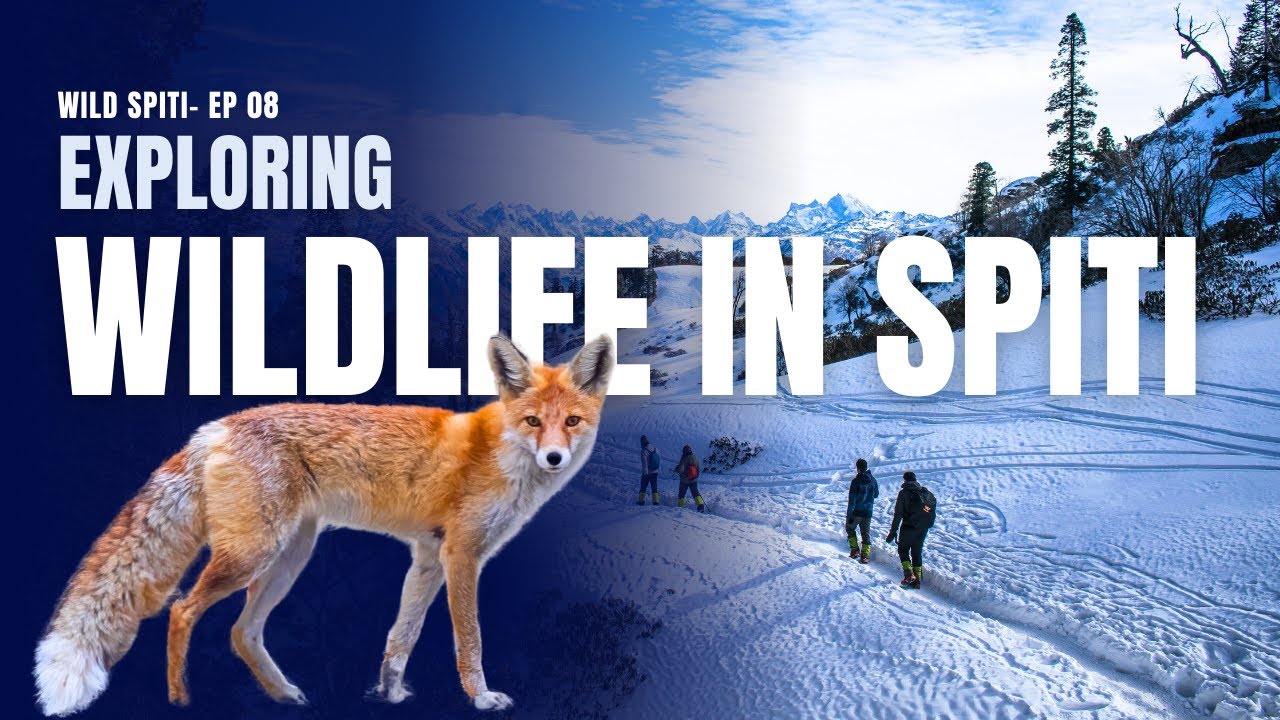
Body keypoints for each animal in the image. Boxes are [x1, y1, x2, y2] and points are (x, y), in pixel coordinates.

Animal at [34, 334, 614, 716]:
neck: (500, 456)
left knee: (242, 632)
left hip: (289, 558)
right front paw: (482, 697)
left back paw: (283, 694)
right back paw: (181, 700)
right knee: (182, 612)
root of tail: (214, 429)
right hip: (253, 555)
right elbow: (468, 640)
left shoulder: (428, 558)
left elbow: (401, 637)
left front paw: (389, 694)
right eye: (533, 422)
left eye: (572, 422)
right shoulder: (462, 556)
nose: (555, 458)